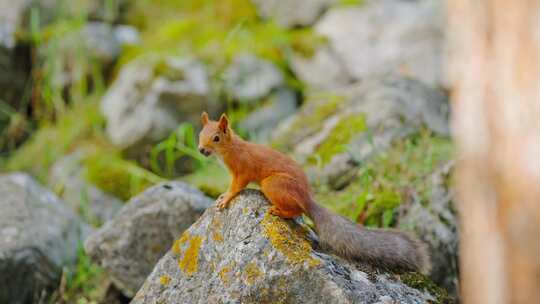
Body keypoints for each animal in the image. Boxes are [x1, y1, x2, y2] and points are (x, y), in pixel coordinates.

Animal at [198, 112, 430, 274]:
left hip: (273, 184)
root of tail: (307, 198)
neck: (231, 149)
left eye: (216, 138)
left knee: (296, 211)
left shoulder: (243, 170)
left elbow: (237, 186)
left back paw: (279, 211)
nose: (201, 150)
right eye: (200, 134)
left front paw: (225, 198)